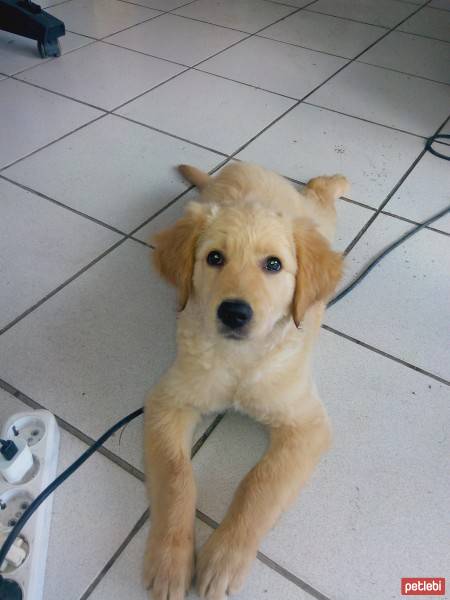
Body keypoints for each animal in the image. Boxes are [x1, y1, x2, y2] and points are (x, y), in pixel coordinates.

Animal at [144, 162, 348, 600]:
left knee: (320, 194)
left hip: (318, 217)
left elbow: (260, 484)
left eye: (273, 265)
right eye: (214, 258)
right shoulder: (168, 402)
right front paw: (171, 562)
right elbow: (176, 477)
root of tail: (239, 165)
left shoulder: (307, 424)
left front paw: (224, 559)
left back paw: (336, 181)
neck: (240, 359)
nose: (234, 313)